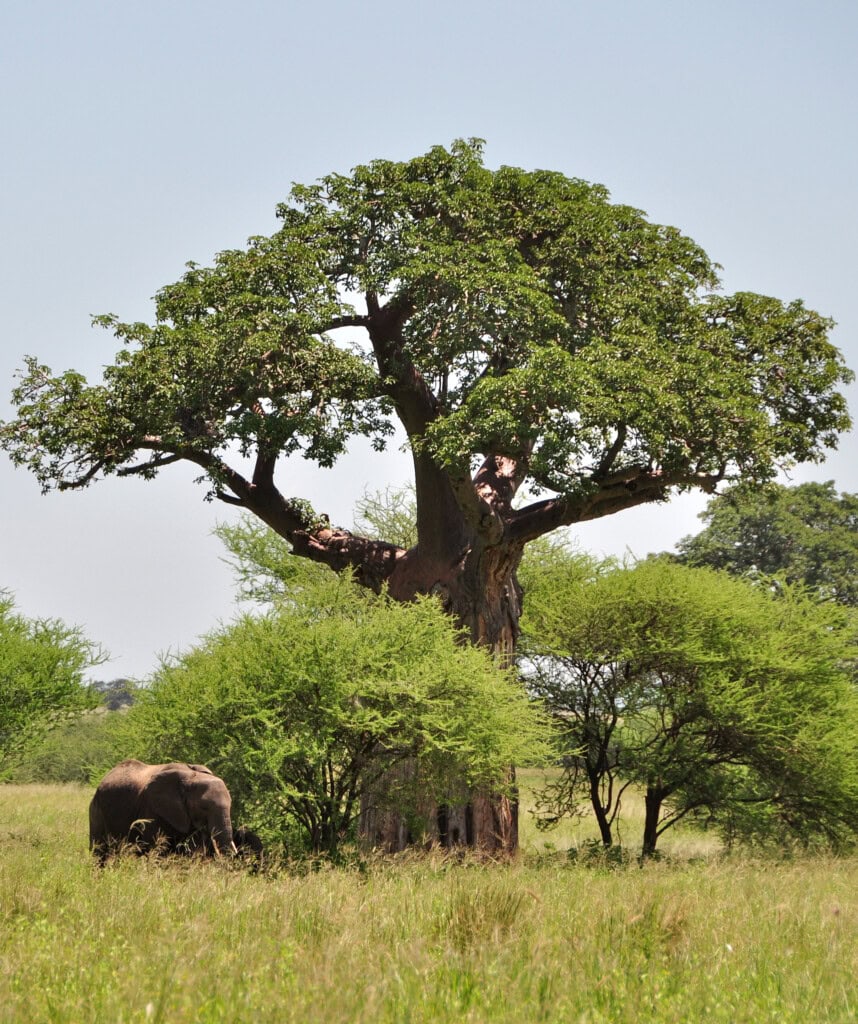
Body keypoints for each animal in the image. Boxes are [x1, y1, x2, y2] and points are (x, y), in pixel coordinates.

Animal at [89, 759, 237, 863]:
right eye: (203, 807)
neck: (192, 776)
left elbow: (194, 852)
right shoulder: (153, 809)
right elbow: (157, 849)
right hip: (96, 809)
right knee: (99, 852)